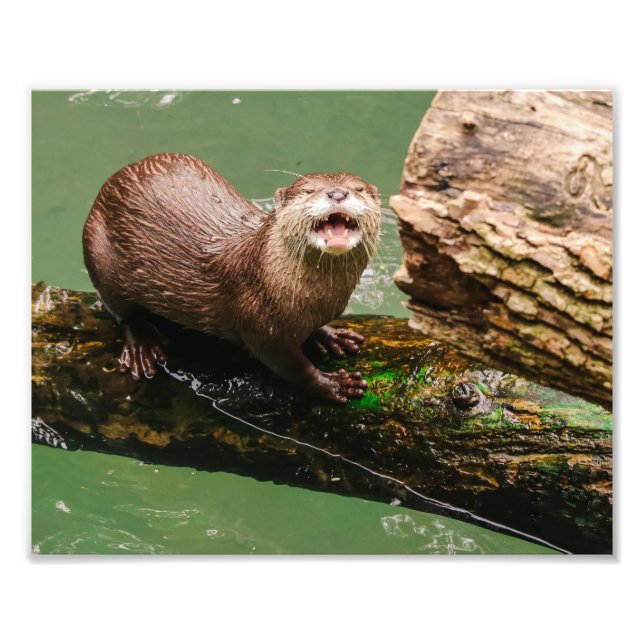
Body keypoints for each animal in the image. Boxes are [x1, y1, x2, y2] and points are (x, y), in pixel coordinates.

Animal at [82, 153, 382, 403]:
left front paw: (330, 336)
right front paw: (333, 384)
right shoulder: (262, 325)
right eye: (308, 191)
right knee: (120, 310)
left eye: (359, 189)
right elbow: (291, 367)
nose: (337, 192)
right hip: (98, 251)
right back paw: (142, 346)